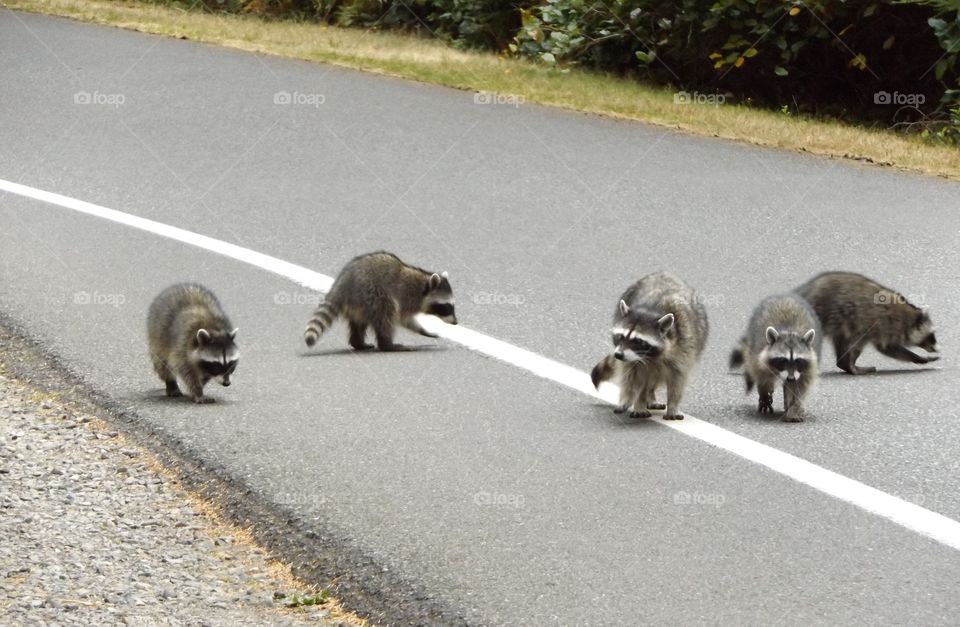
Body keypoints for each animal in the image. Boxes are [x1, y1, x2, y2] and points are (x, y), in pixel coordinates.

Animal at [303, 251, 457, 351]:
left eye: (453, 305)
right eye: (446, 306)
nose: (456, 322)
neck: (423, 286)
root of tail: (344, 283)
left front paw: (423, 330)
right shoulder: (405, 297)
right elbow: (404, 319)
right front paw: (421, 329)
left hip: (359, 303)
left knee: (359, 323)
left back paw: (358, 343)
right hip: (373, 295)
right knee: (386, 316)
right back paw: (387, 345)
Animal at [590, 272, 708, 420]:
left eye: (638, 341)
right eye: (620, 336)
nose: (618, 355)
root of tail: (663, 273)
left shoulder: (685, 345)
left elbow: (677, 381)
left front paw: (673, 405)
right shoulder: (631, 360)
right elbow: (630, 377)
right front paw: (629, 398)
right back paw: (644, 399)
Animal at [730, 294, 821, 422]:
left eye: (798, 360)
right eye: (783, 360)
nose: (791, 378)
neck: (790, 332)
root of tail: (784, 295)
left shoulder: (808, 366)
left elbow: (799, 387)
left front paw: (794, 409)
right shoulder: (758, 353)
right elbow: (761, 375)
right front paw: (764, 393)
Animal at [794, 271, 938, 375]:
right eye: (931, 336)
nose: (937, 348)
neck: (909, 319)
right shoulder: (883, 325)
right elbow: (888, 348)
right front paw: (920, 358)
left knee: (842, 338)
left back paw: (844, 364)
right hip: (829, 314)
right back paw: (849, 366)